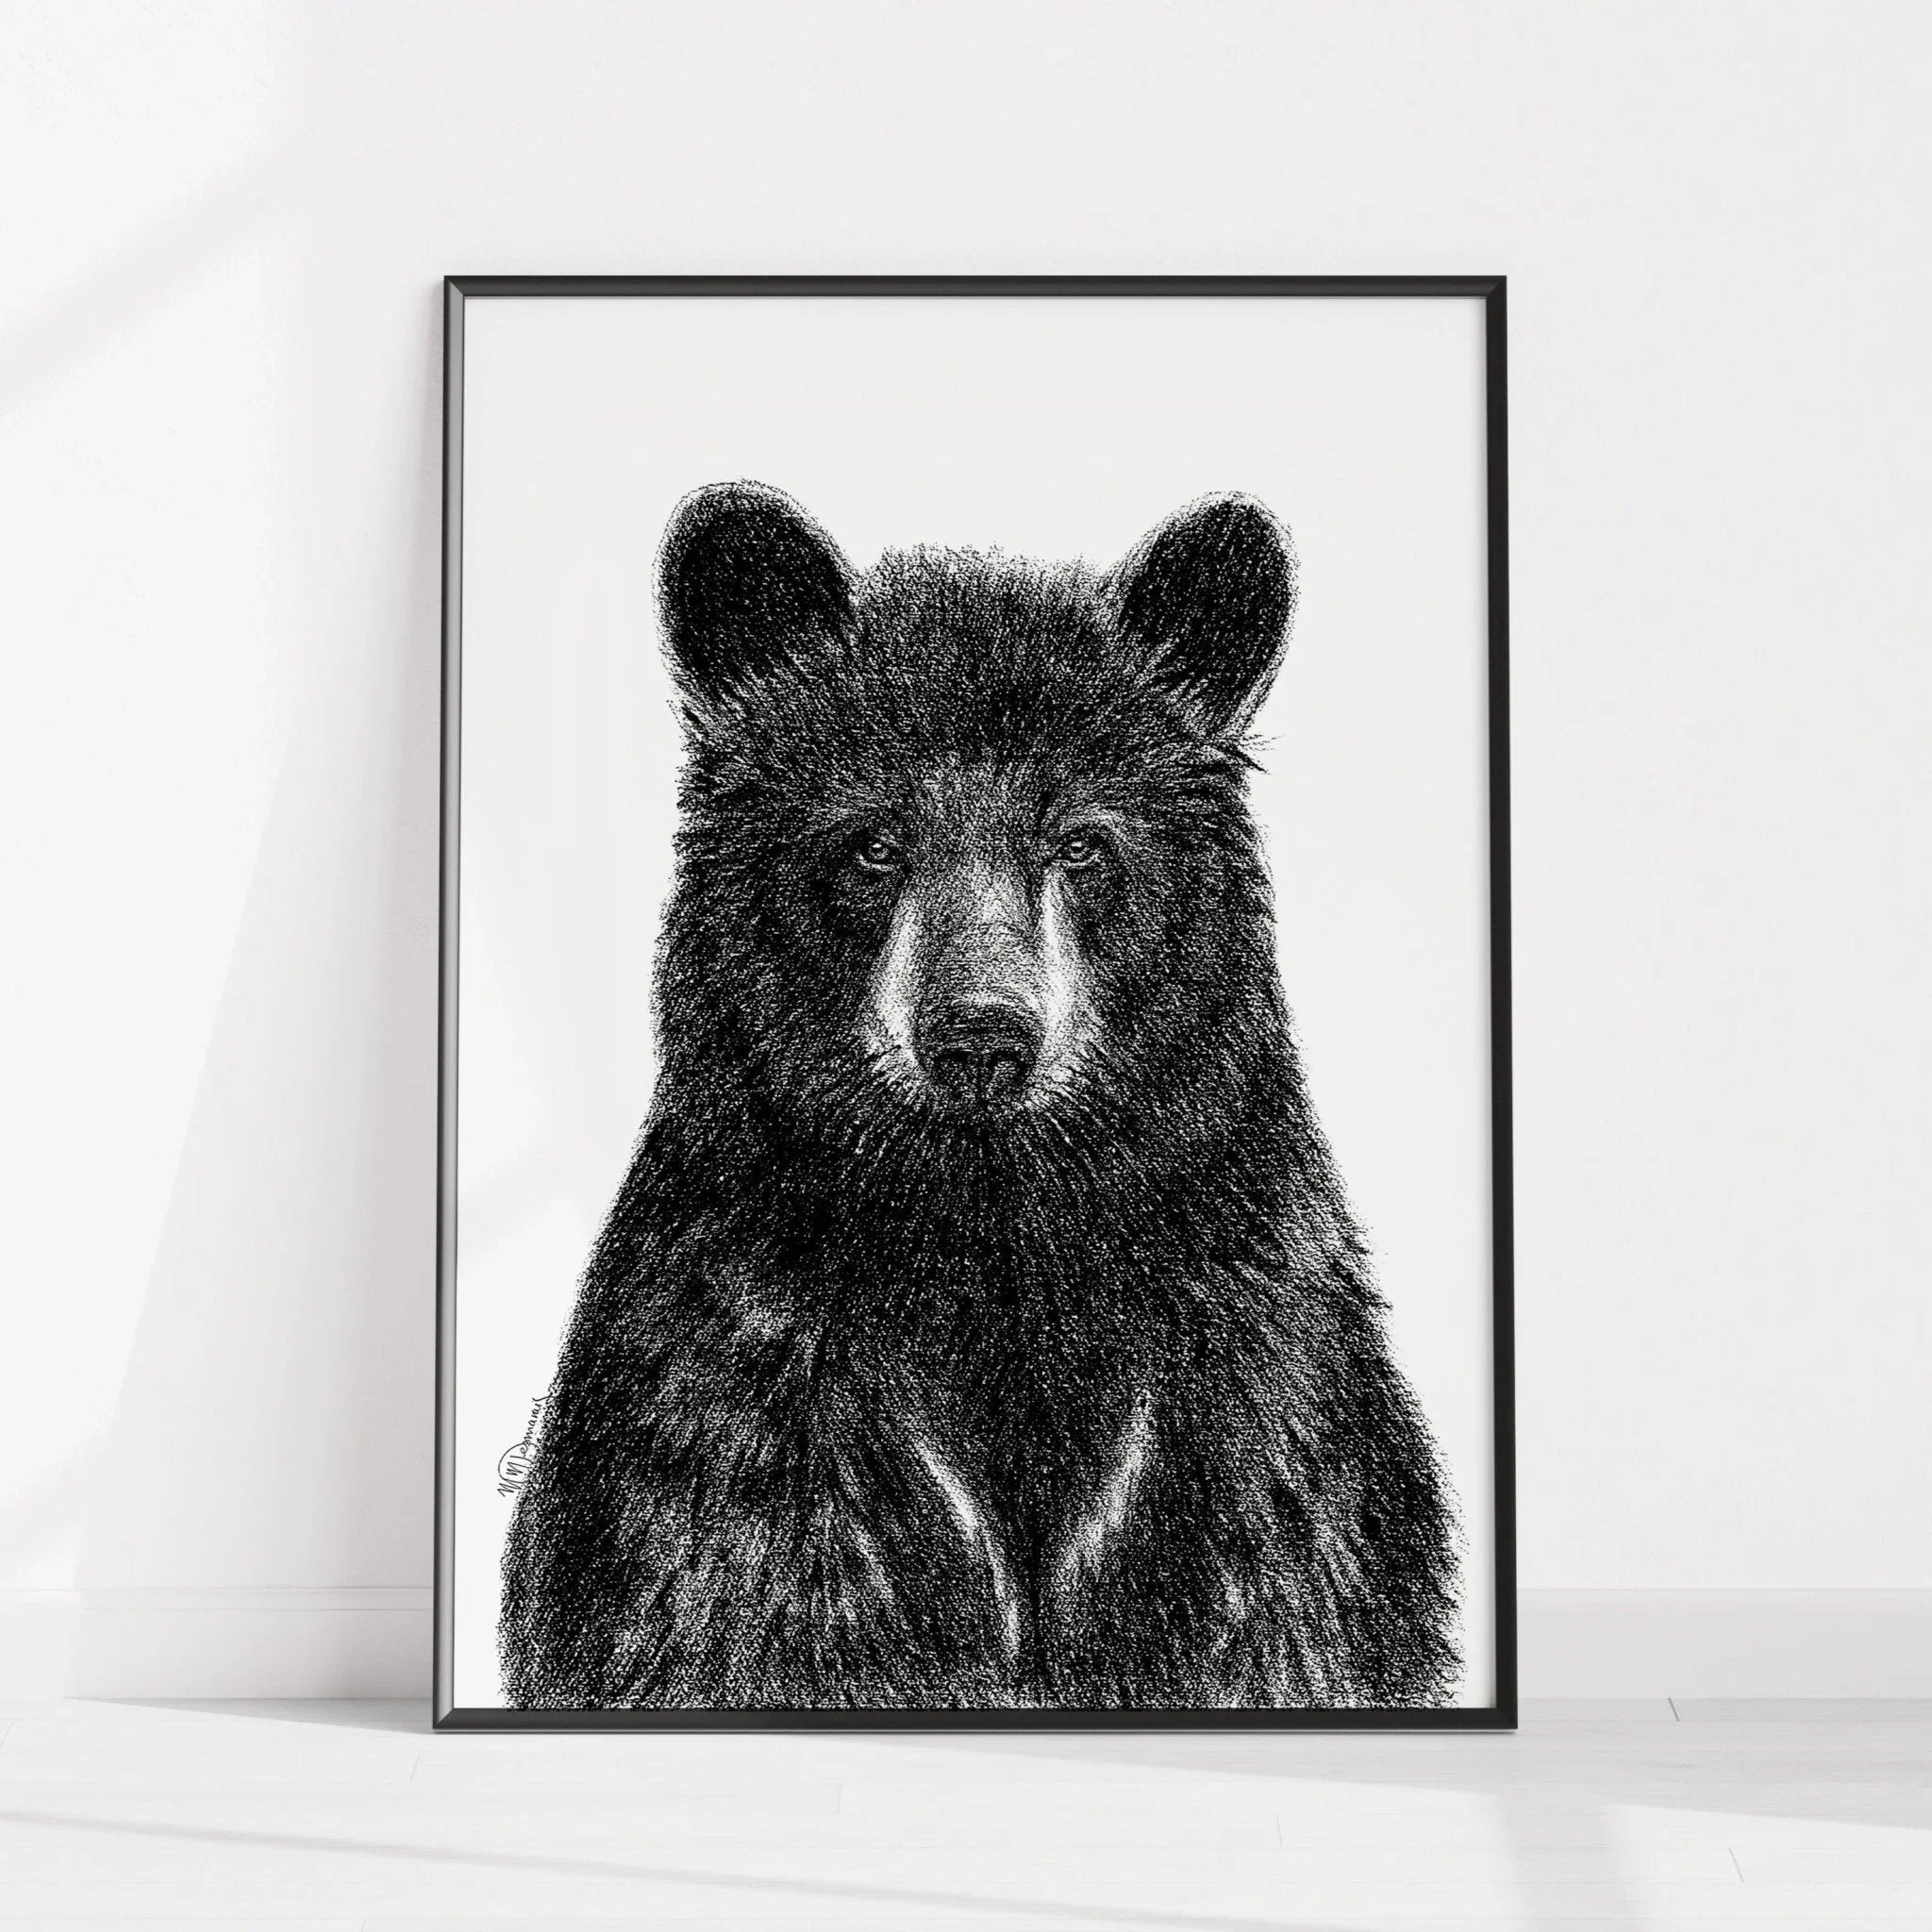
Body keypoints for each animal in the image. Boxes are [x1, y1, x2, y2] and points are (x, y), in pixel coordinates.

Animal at [499, 482, 1459, 1711]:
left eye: (1082, 842)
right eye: (871, 842)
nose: (979, 1036)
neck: (989, 1239)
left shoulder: (1250, 1411)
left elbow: (1290, 1588)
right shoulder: (742, 1406)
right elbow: (735, 1601)